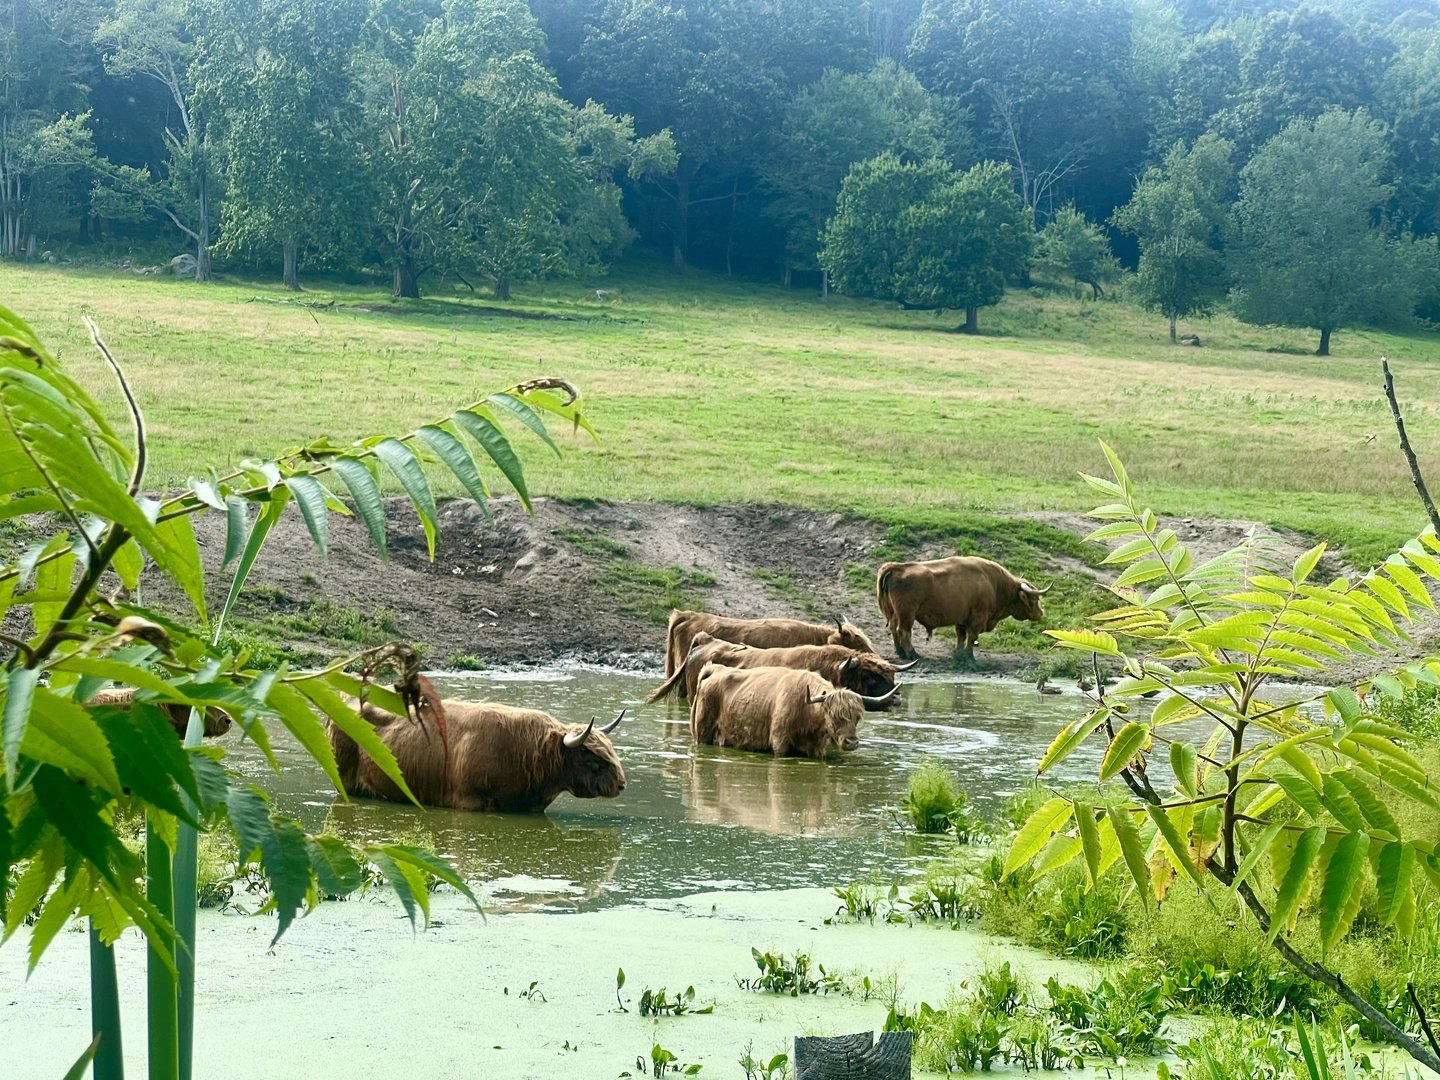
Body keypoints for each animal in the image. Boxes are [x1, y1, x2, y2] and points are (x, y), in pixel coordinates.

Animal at [690, 663, 889, 759]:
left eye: (857, 718)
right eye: (834, 716)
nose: (852, 742)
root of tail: (716, 670)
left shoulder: (817, 749)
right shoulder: (780, 742)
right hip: (703, 733)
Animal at [876, 556, 1051, 661]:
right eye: (1034, 599)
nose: (1041, 613)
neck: (993, 583)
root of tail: (896, 567)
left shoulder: (961, 619)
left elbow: (961, 636)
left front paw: (958, 653)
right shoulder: (977, 618)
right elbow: (972, 636)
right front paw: (969, 656)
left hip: (895, 613)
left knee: (894, 629)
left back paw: (900, 652)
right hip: (907, 614)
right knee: (903, 631)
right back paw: (913, 654)